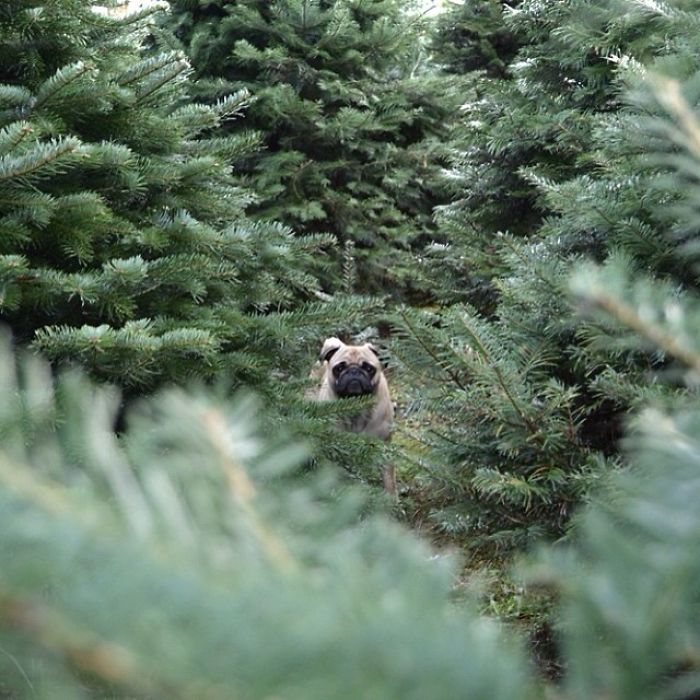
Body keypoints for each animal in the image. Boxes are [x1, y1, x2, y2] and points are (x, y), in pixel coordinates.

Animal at [316, 336, 396, 494]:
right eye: (339, 368)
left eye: (369, 368)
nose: (354, 371)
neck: (356, 406)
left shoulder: (384, 446)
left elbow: (389, 480)